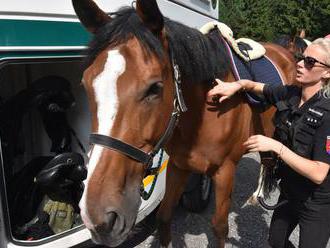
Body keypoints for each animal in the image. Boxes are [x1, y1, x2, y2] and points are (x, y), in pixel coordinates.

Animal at [73, 0, 296, 247]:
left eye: (155, 88)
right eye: (85, 84)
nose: (97, 216)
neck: (205, 113)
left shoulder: (225, 171)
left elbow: (220, 227)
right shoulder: (178, 166)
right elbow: (164, 216)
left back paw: (258, 195)